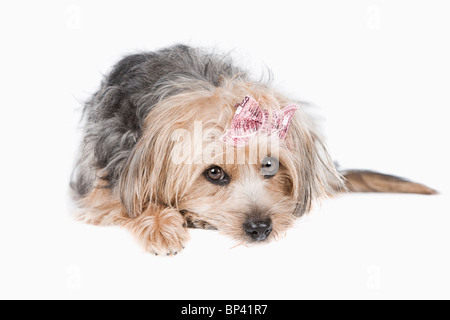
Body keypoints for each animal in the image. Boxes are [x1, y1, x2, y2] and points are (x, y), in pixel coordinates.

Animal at [71, 44, 436, 255]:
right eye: (214, 173)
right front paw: (162, 225)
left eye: (270, 166)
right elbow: (126, 202)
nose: (261, 229)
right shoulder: (100, 185)